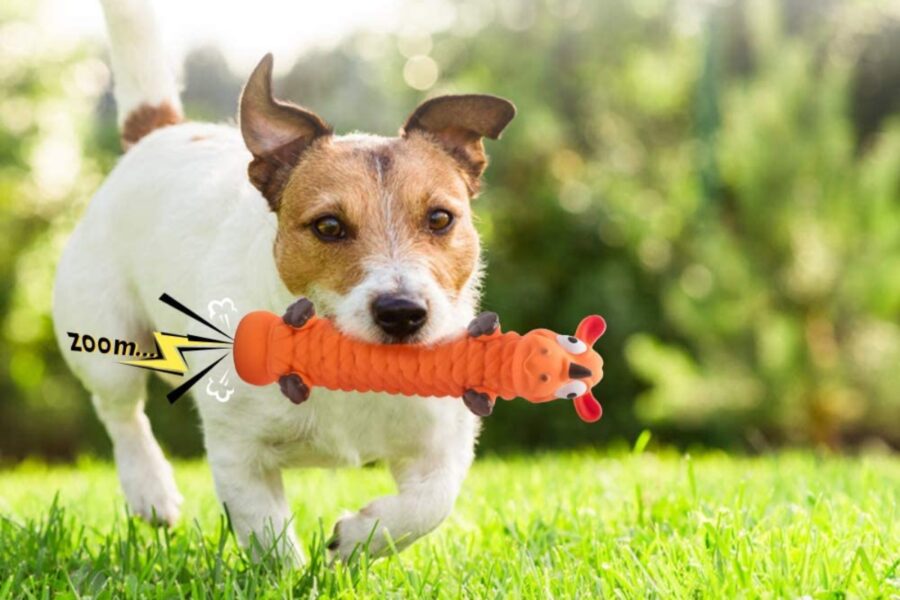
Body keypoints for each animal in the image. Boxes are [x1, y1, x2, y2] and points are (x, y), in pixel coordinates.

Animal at [51, 0, 512, 564]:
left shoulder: (442, 440)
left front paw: (357, 538)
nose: (402, 312)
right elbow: (267, 531)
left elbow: (430, 503)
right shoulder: (239, 452)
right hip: (105, 338)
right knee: (121, 412)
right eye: (329, 226)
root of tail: (158, 135)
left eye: (441, 219)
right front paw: (294, 570)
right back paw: (151, 490)